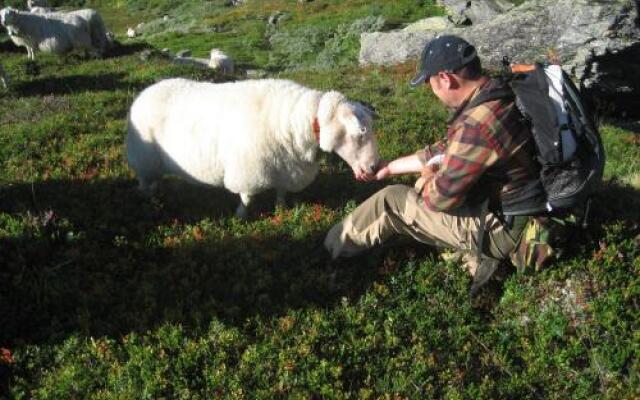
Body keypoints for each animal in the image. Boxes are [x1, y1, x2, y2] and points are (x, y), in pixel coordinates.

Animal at [128, 77, 382, 217]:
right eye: (360, 133)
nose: (375, 166)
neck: (293, 122)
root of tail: (145, 93)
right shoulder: (248, 171)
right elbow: (247, 198)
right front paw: (240, 216)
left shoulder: (286, 168)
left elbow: (281, 192)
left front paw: (281, 209)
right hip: (143, 157)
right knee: (143, 179)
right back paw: (147, 196)